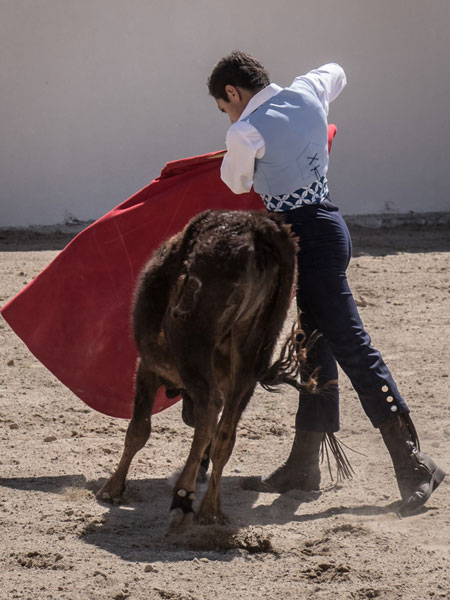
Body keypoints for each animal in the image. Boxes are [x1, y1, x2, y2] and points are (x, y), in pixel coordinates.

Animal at [97, 210, 304, 528]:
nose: (187, 414)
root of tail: (255, 226)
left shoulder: (147, 368)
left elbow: (138, 429)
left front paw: (112, 489)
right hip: (251, 354)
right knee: (225, 430)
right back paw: (210, 508)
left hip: (193, 347)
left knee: (210, 405)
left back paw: (184, 494)